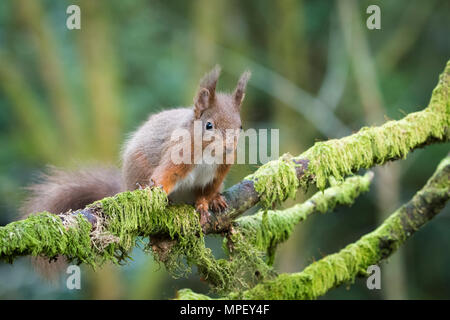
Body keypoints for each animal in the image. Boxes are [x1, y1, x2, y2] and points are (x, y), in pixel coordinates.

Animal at [22, 65, 250, 226]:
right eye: (209, 125)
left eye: (240, 126)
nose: (230, 147)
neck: (209, 153)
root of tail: (125, 184)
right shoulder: (177, 155)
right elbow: (165, 176)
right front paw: (159, 193)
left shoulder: (218, 172)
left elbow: (206, 190)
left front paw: (204, 203)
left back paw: (217, 199)